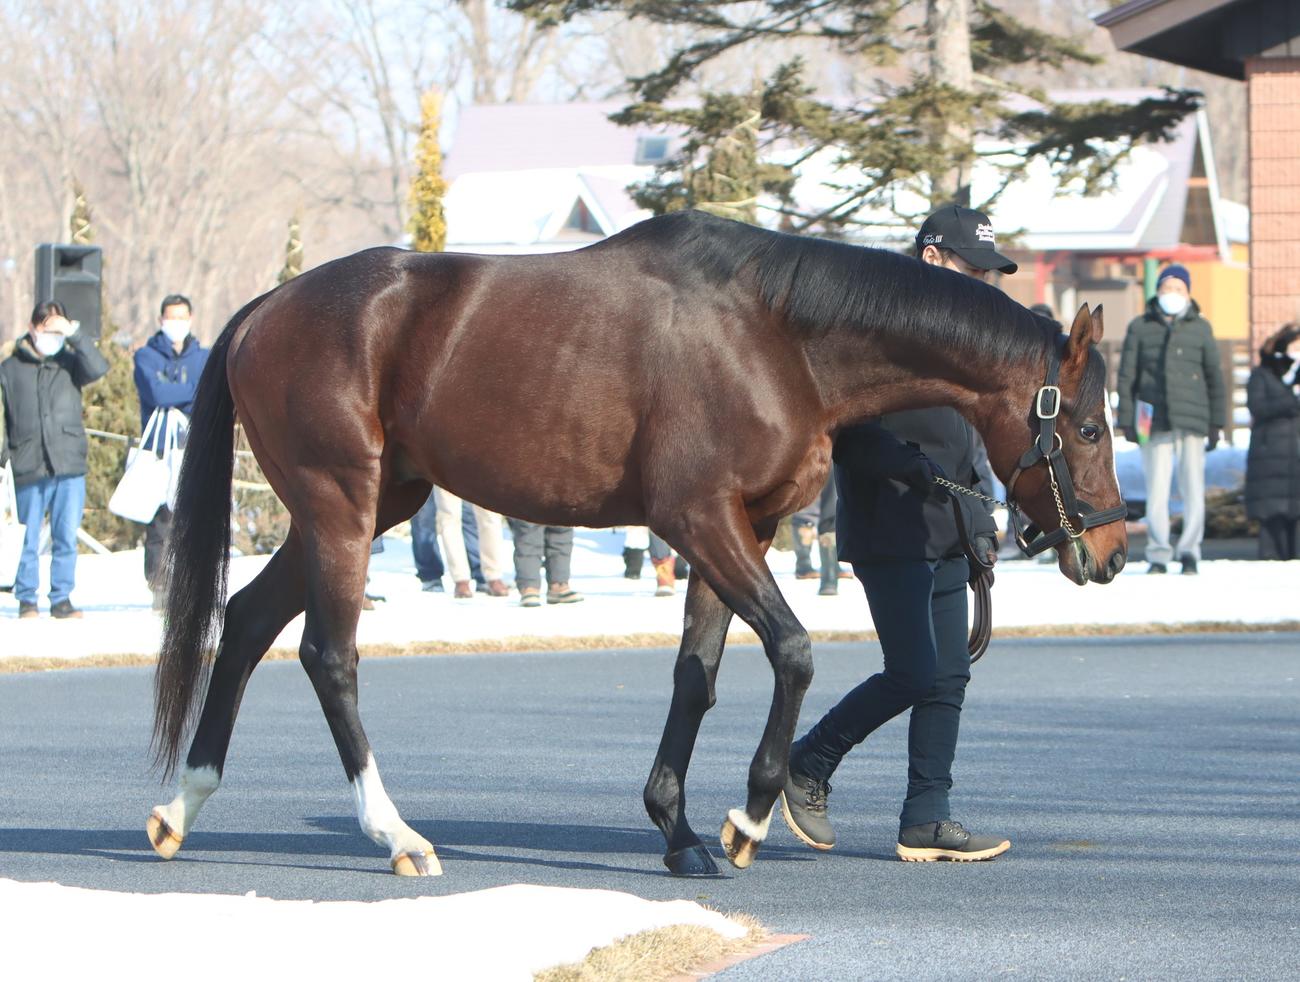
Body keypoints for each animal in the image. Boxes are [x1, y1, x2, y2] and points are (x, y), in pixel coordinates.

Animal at [146, 209, 1127, 878]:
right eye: (1086, 427)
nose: (1112, 550)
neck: (774, 334)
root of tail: (266, 308)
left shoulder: (740, 526)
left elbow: (698, 675)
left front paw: (680, 830)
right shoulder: (699, 518)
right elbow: (794, 650)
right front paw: (749, 819)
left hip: (372, 503)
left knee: (245, 622)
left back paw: (182, 807)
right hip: (340, 503)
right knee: (328, 654)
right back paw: (396, 834)